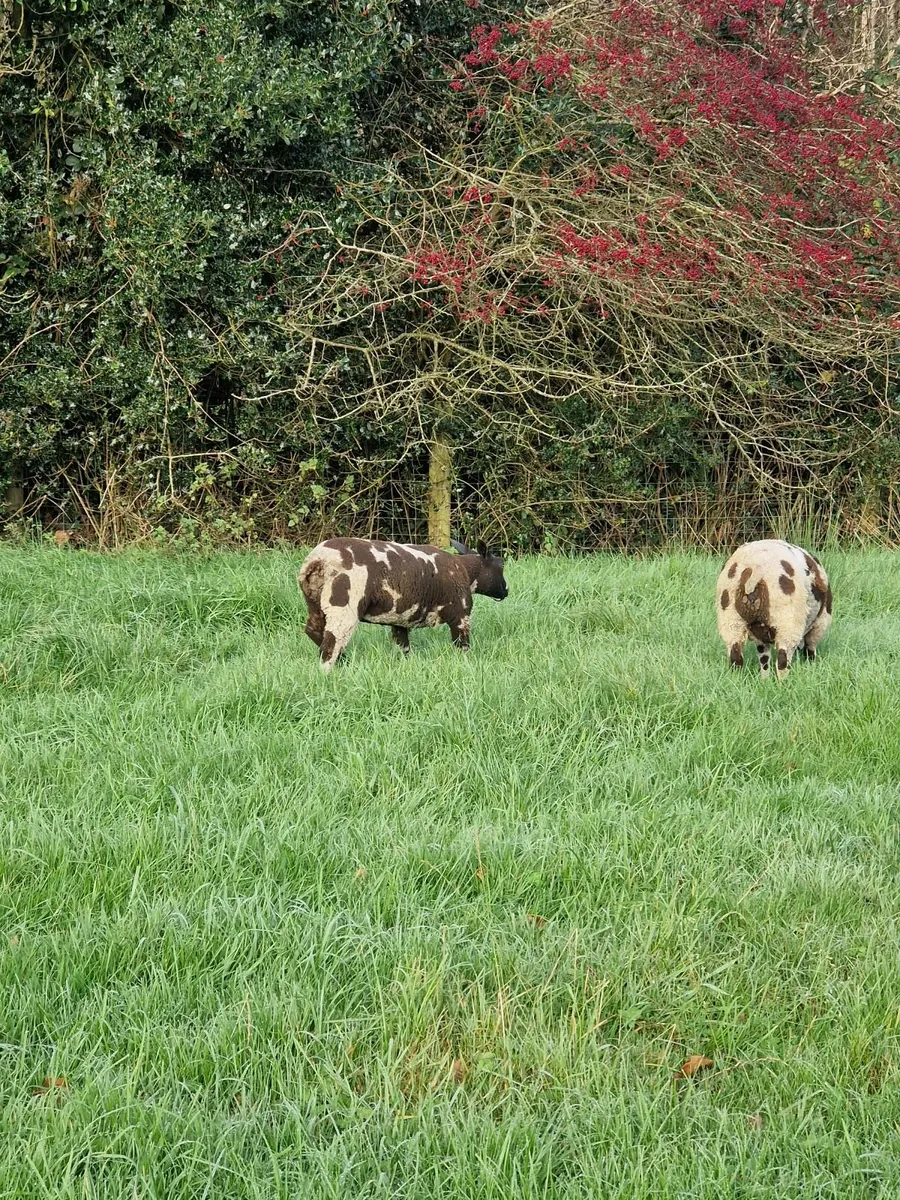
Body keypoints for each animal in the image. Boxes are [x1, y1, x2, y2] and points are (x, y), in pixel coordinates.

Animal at [298, 536, 508, 670]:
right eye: (501, 565)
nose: (506, 590)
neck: (465, 570)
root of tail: (318, 560)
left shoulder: (400, 620)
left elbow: (403, 647)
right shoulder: (461, 616)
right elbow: (462, 647)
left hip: (314, 602)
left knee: (313, 630)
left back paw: (345, 660)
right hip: (344, 605)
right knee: (332, 642)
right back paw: (329, 671)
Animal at [716, 539, 832, 679]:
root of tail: (755, 568)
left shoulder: (760, 636)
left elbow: (764, 658)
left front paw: (764, 680)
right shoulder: (819, 624)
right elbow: (811, 649)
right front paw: (811, 667)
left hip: (731, 620)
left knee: (736, 657)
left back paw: (736, 679)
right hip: (787, 621)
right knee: (783, 660)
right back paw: (784, 682)